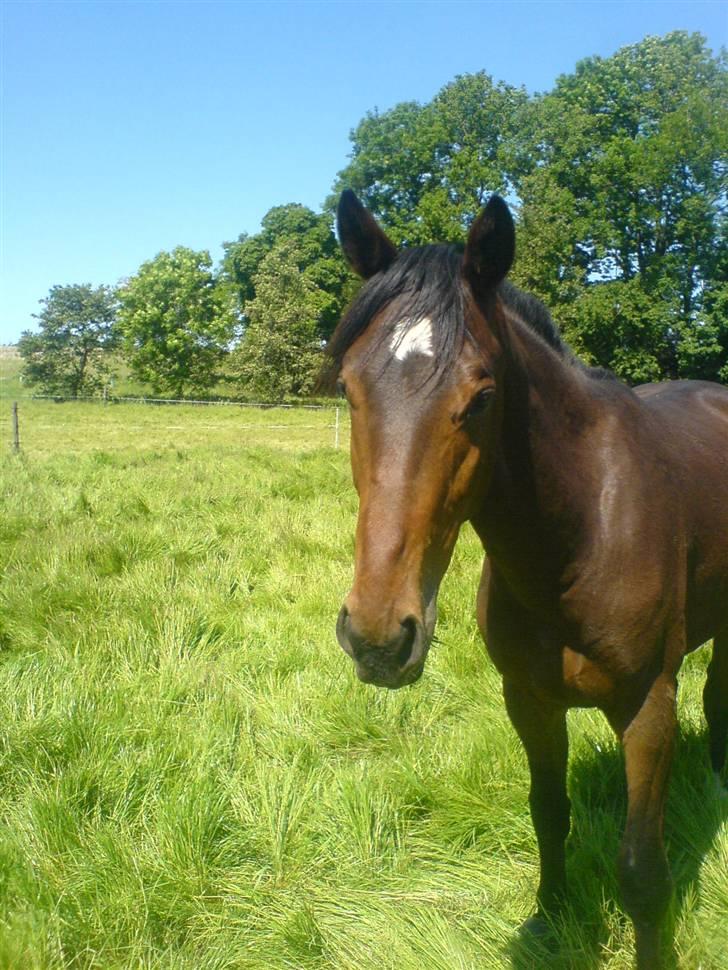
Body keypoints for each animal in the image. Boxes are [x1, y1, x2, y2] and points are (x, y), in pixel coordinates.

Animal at [328, 189, 728, 968]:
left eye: (482, 397)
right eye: (349, 389)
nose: (378, 636)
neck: (579, 536)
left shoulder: (648, 708)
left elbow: (643, 871)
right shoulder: (528, 699)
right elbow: (548, 811)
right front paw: (549, 916)